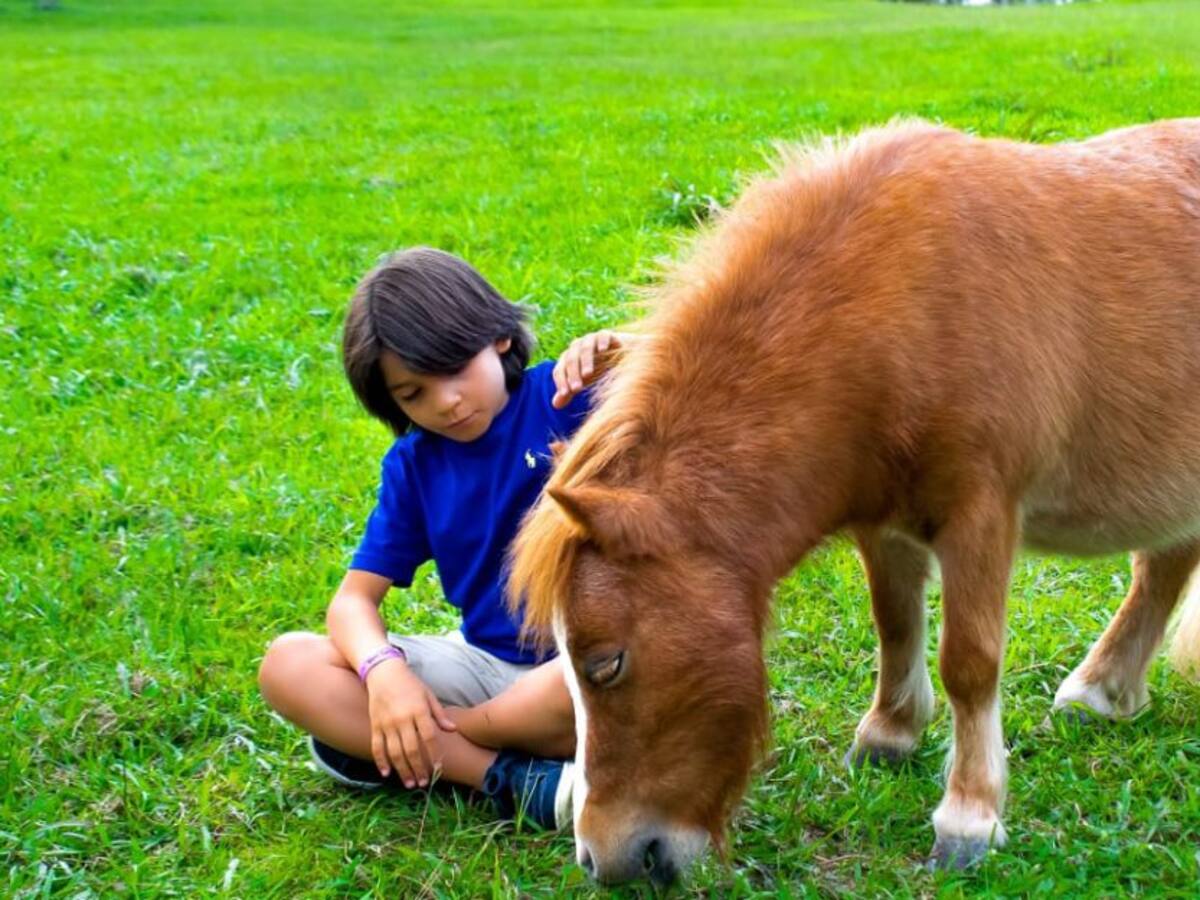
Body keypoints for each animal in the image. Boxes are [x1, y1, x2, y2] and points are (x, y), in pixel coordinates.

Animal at [509, 118, 1200, 883]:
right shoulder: (887, 522)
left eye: (606, 665)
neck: (900, 307)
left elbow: (969, 661)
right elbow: (894, 624)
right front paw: (890, 735)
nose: (604, 861)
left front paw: (969, 816)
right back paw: (1101, 690)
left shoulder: (981, 513)